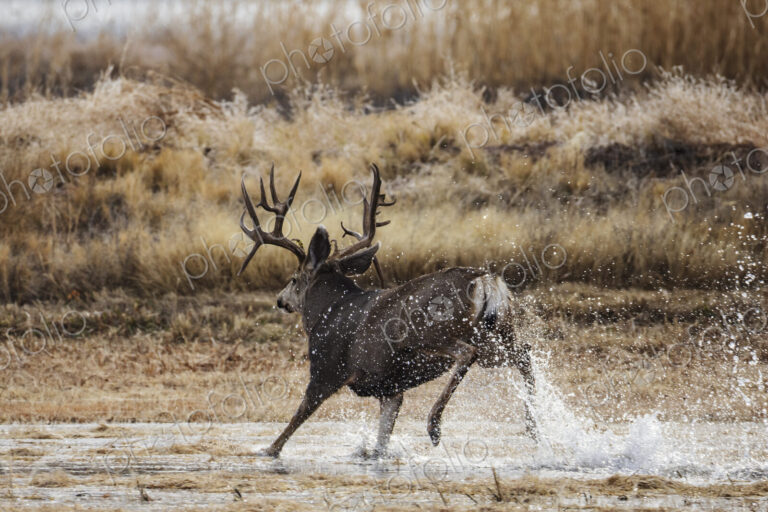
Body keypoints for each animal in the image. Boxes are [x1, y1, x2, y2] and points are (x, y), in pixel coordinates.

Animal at [238, 163, 538, 458]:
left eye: (293, 279)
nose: (280, 300)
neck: (326, 312)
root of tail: (485, 279)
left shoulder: (326, 368)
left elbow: (294, 421)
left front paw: (266, 450)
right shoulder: (390, 388)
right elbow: (381, 443)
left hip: (430, 333)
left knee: (467, 353)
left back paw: (434, 425)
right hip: (496, 336)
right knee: (524, 353)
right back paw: (533, 427)